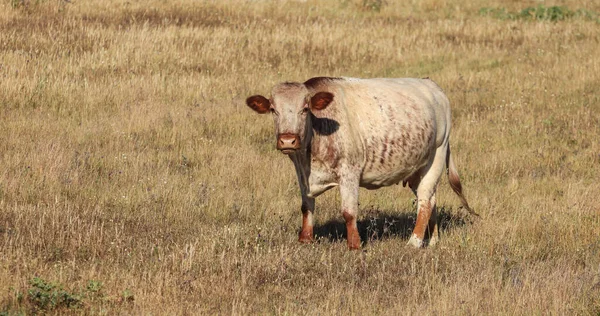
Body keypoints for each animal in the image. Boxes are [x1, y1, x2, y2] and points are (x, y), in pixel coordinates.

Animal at [246, 76, 476, 249]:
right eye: (273, 110)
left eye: (304, 109)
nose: (287, 140)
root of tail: (431, 85)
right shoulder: (301, 172)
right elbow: (306, 206)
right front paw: (305, 239)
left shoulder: (349, 171)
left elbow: (349, 212)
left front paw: (354, 244)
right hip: (418, 170)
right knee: (431, 200)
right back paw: (432, 240)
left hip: (437, 155)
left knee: (425, 201)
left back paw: (414, 242)